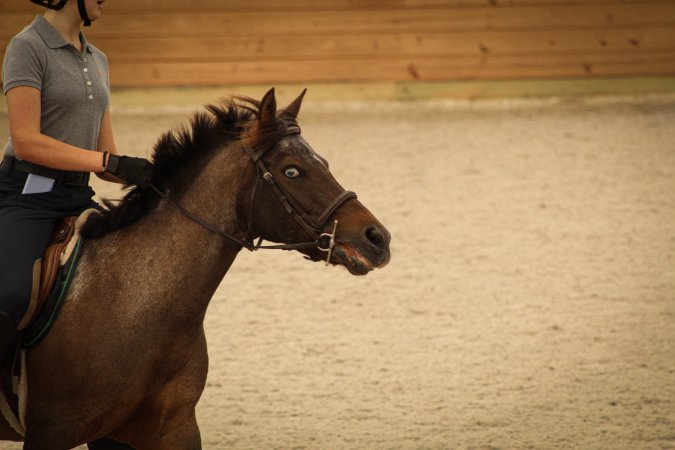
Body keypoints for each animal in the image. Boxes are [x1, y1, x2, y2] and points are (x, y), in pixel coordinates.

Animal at [0, 89, 390, 450]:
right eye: (292, 170)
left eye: (323, 162)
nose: (378, 238)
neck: (131, 304)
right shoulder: (52, 430)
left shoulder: (168, 427)